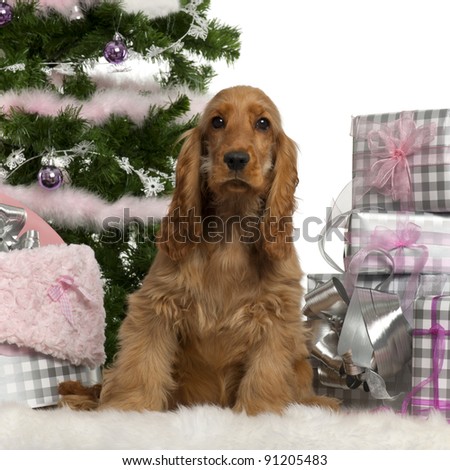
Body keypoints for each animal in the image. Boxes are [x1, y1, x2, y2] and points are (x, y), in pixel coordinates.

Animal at [97, 85, 338, 414]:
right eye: (217, 121)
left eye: (263, 123)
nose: (235, 158)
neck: (231, 228)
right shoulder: (156, 304)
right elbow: (141, 361)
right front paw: (130, 408)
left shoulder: (277, 315)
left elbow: (266, 373)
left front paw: (259, 412)